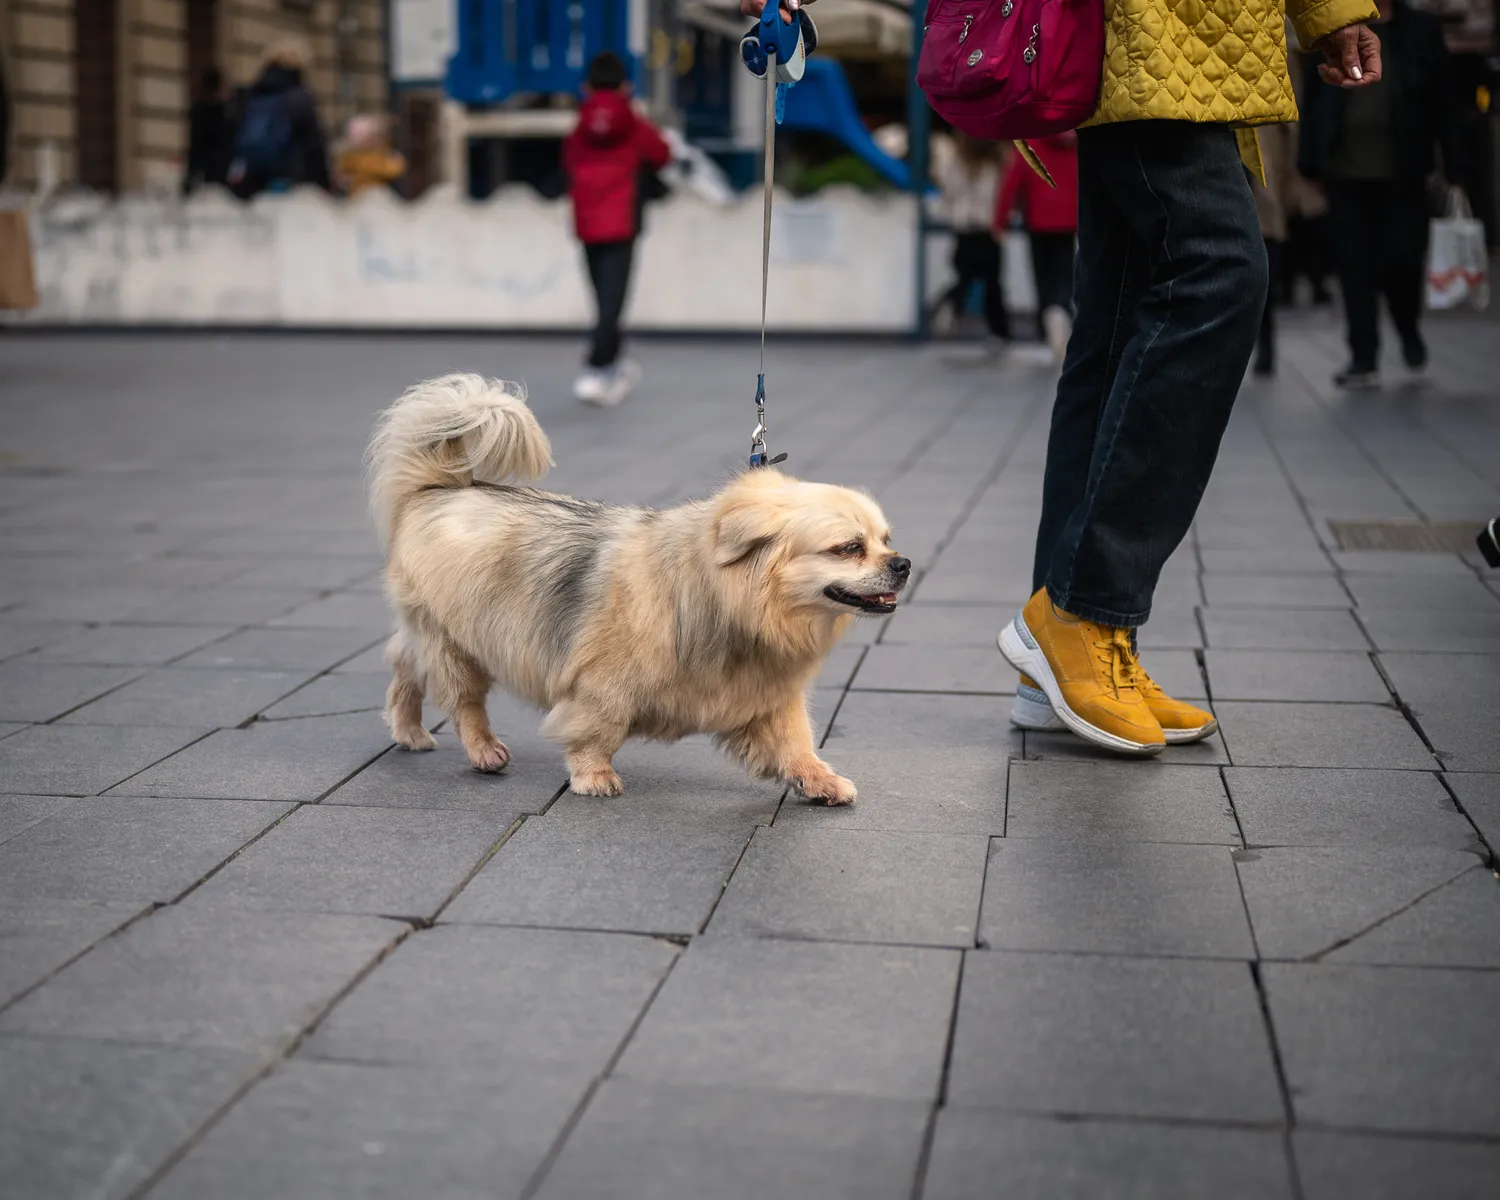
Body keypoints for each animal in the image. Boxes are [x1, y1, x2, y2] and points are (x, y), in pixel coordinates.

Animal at [372, 372, 912, 804]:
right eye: (848, 548)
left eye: (886, 540)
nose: (904, 564)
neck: (727, 603)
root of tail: (439, 490)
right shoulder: (603, 686)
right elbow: (598, 730)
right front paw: (593, 777)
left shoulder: (770, 696)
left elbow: (796, 744)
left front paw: (819, 781)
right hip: (456, 643)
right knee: (463, 701)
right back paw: (483, 750)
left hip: (430, 637)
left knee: (404, 668)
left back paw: (408, 731)